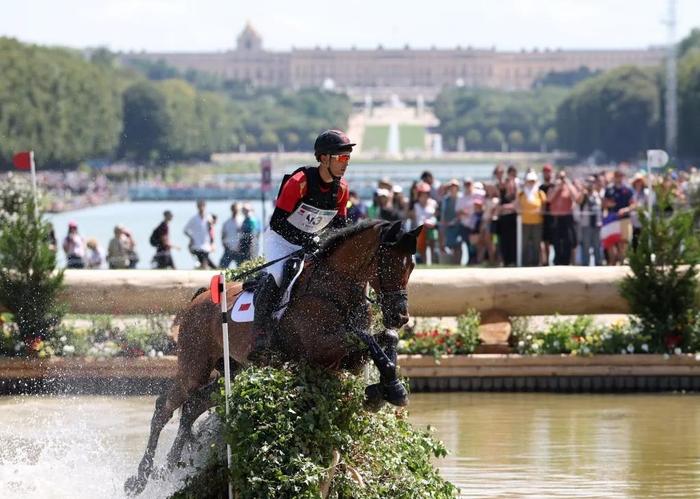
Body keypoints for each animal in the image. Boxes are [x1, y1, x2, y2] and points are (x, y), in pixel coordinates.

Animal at [124, 222, 422, 496]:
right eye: (389, 265)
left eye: (411, 267)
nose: (400, 316)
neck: (333, 287)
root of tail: (198, 299)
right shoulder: (322, 346)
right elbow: (367, 338)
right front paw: (392, 390)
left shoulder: (345, 361)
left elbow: (384, 338)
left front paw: (384, 390)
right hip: (194, 367)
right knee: (164, 407)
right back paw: (140, 478)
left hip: (232, 370)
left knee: (194, 405)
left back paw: (171, 467)